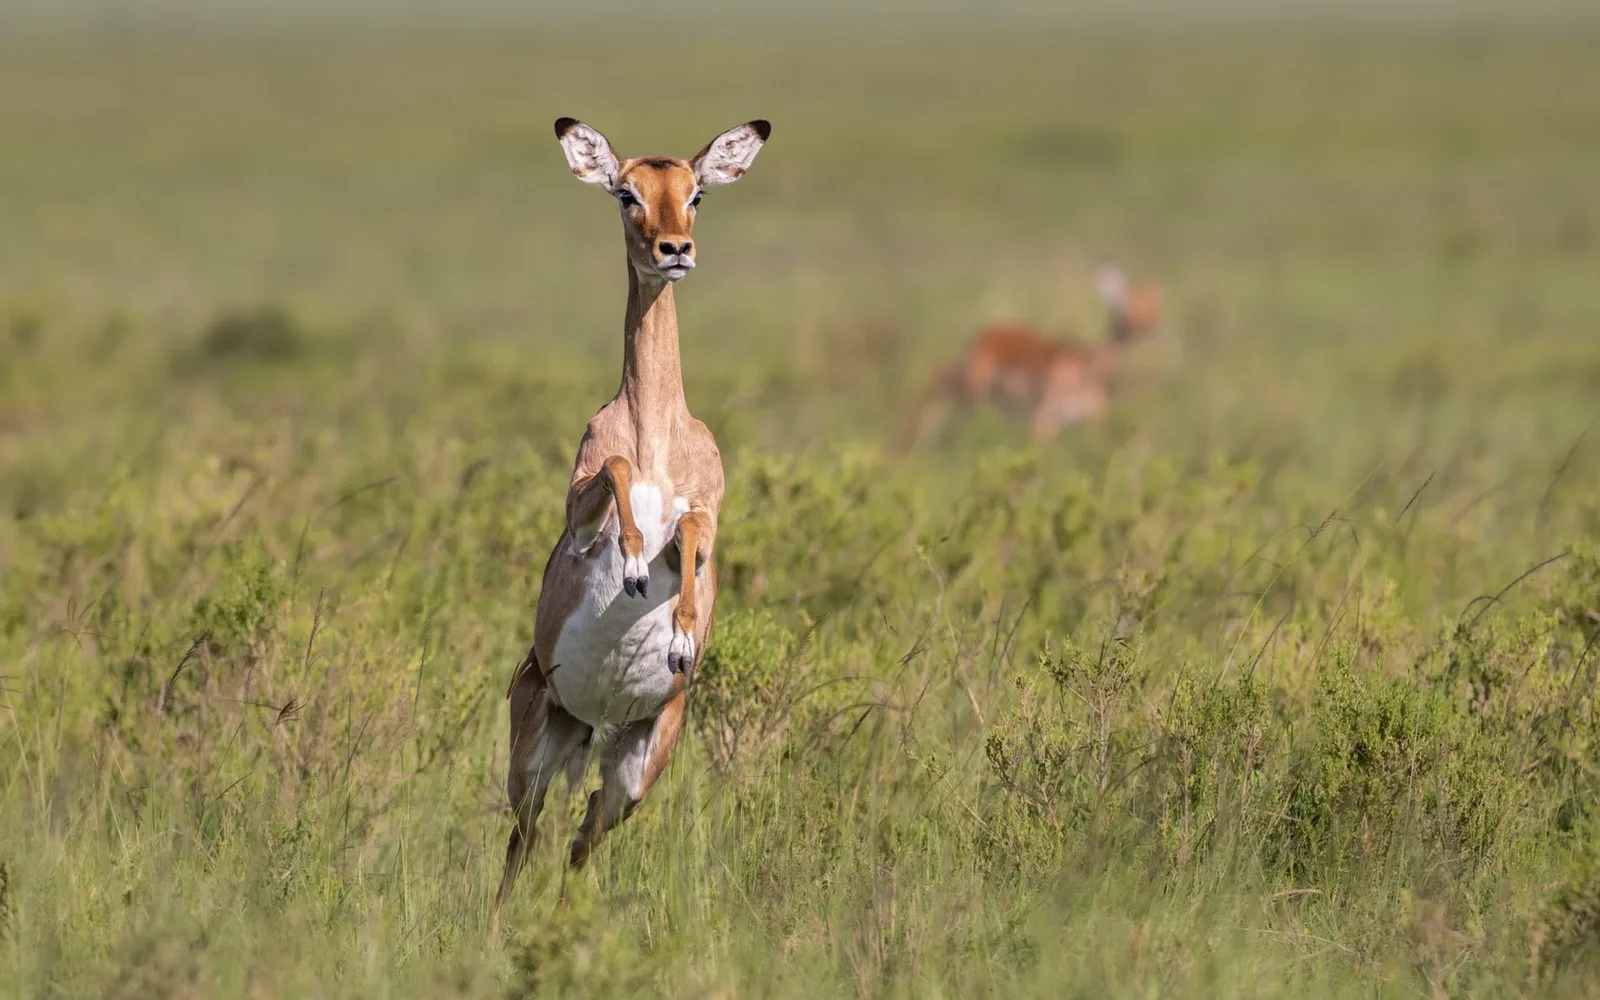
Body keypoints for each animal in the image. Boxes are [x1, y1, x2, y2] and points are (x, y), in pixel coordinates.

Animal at [493, 117, 770, 917]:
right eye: (627, 193)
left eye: (697, 192)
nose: (673, 250)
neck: (654, 434)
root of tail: (598, 721)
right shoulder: (582, 513)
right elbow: (616, 476)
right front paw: (638, 566)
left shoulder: (709, 516)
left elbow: (692, 532)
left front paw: (677, 636)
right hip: (535, 751)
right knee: (525, 839)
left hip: (636, 766)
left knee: (583, 833)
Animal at [902, 265, 1163, 445]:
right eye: (1126, 305)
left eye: (1154, 306)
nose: (1153, 327)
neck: (1087, 366)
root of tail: (983, 331)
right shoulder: (1043, 414)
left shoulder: (1092, 414)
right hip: (973, 384)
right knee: (938, 374)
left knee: (940, 372)